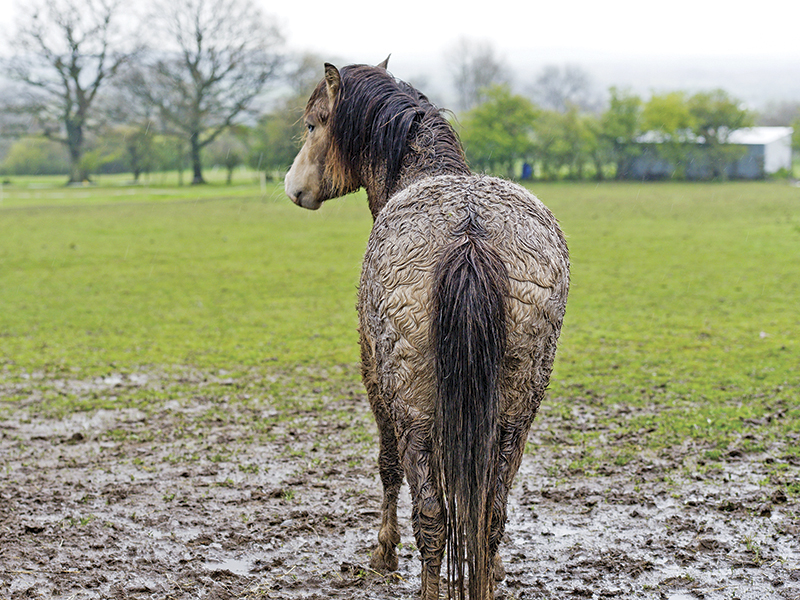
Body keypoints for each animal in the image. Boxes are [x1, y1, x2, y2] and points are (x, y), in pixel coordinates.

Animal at [285, 58, 569, 600]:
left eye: (313, 124)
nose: (293, 186)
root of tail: (470, 236)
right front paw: (496, 567)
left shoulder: (374, 376)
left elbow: (388, 465)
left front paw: (384, 551)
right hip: (515, 411)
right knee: (490, 510)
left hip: (412, 404)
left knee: (433, 513)